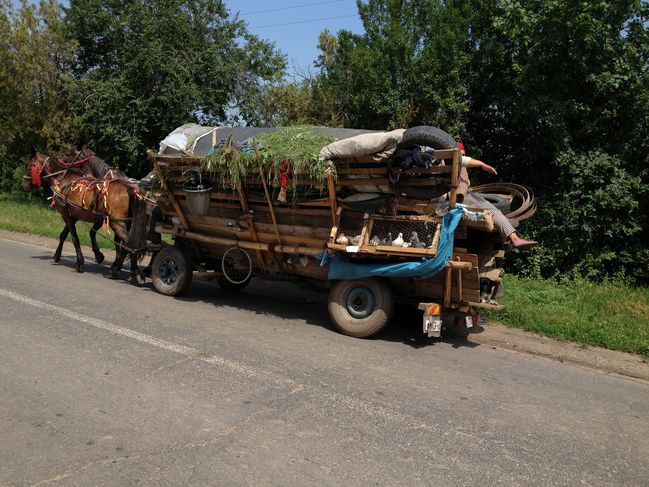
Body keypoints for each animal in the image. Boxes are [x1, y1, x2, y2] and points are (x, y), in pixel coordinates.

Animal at [22, 151, 148, 284]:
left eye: (28, 166)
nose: (24, 185)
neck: (63, 180)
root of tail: (130, 189)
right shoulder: (74, 216)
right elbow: (64, 235)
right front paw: (56, 257)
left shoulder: (66, 215)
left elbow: (74, 238)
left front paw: (79, 264)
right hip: (127, 223)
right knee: (130, 243)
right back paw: (131, 270)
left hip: (117, 223)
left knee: (128, 243)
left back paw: (121, 270)